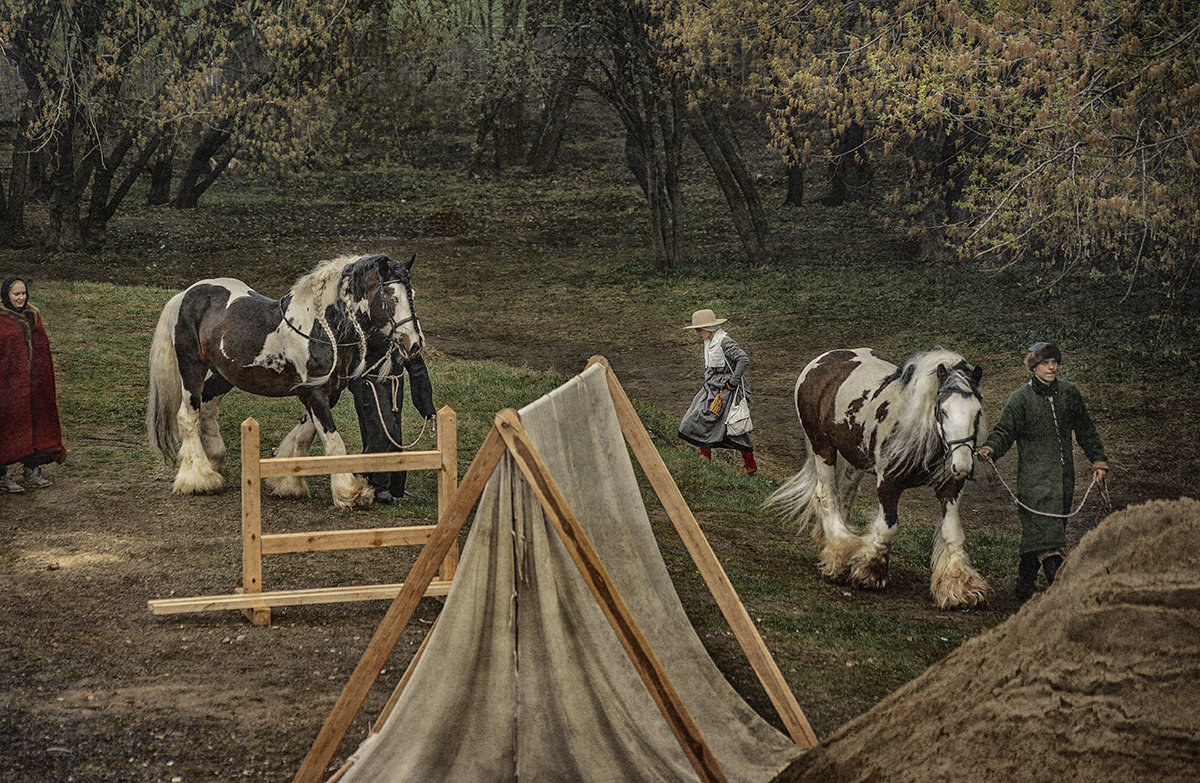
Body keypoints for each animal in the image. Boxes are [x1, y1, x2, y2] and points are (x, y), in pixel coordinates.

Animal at [148, 252, 424, 506]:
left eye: (412, 295)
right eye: (392, 297)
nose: (414, 343)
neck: (322, 330)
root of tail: (185, 294)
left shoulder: (326, 393)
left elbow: (305, 435)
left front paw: (289, 482)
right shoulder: (313, 394)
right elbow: (333, 441)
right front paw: (349, 493)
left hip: (225, 374)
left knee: (207, 406)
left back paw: (214, 460)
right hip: (191, 366)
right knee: (189, 415)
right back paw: (199, 478)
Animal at [763, 348, 988, 612]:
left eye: (977, 413)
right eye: (943, 411)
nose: (962, 466)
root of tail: (822, 359)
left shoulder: (949, 487)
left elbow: (952, 531)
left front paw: (959, 586)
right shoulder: (888, 484)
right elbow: (888, 528)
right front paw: (869, 570)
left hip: (853, 460)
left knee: (844, 496)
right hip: (822, 446)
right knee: (827, 496)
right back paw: (840, 552)